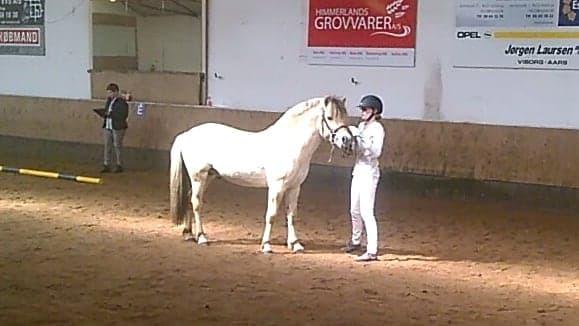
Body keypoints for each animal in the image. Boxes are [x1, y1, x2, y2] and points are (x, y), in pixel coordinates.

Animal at [170, 95, 356, 253]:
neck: (290, 144)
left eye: (345, 117)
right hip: (198, 177)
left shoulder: (295, 187)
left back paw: (188, 234)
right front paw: (266, 245)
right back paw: (202, 238)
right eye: (330, 117)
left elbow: (291, 215)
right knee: (196, 203)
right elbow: (271, 215)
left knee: (189, 198)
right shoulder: (277, 187)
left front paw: (295, 244)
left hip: (208, 177)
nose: (347, 141)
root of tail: (186, 134)